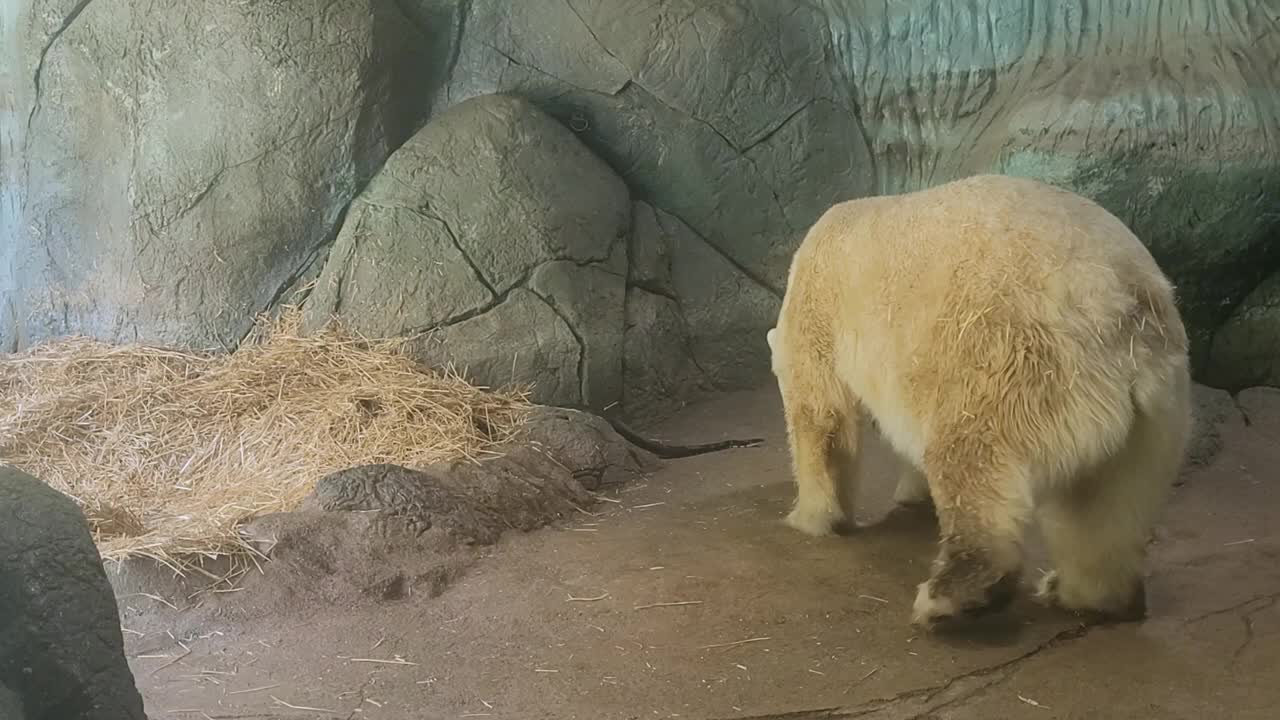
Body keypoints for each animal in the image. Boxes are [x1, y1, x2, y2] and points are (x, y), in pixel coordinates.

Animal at [762, 174, 1192, 627]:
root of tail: (1117, 308)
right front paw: (910, 493)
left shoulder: (821, 307)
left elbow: (821, 415)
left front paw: (810, 517)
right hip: (1155, 413)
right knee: (1103, 507)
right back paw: (1080, 593)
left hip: (1009, 363)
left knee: (973, 462)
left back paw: (949, 597)